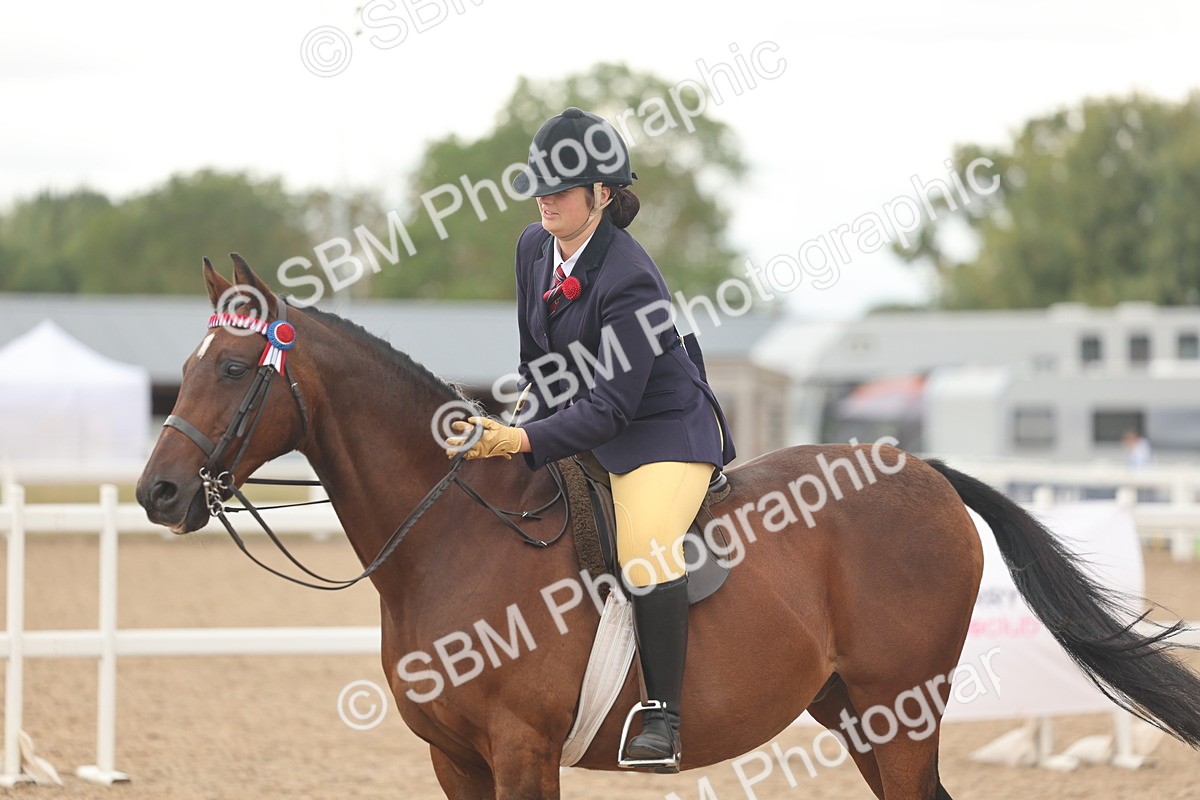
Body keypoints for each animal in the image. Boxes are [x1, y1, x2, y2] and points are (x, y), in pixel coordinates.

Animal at [137, 255, 1200, 799]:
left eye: (233, 367)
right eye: (186, 367)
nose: (158, 493)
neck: (449, 539)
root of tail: (921, 468)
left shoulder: (520, 754)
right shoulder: (456, 761)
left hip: (901, 709)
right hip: (855, 710)